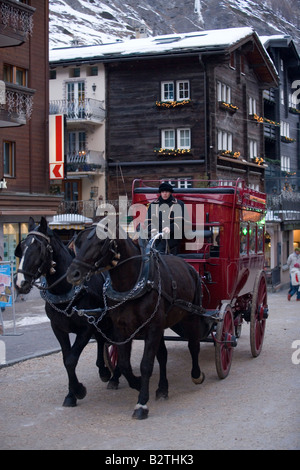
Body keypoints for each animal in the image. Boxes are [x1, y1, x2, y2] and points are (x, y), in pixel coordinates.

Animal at [14, 218, 122, 406]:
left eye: (39, 248)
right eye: (22, 247)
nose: (20, 283)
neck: (67, 292)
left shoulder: (86, 328)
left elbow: (72, 359)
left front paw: (78, 390)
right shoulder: (58, 328)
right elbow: (66, 359)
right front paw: (71, 393)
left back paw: (112, 374)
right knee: (103, 340)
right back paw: (104, 371)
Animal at [66, 217, 210, 418]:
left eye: (101, 242)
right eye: (77, 244)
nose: (73, 274)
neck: (132, 283)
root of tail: (188, 266)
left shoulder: (153, 328)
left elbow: (146, 364)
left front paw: (142, 402)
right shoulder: (123, 329)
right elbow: (125, 364)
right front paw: (136, 383)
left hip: (191, 316)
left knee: (193, 346)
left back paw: (196, 375)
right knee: (163, 355)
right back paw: (162, 388)